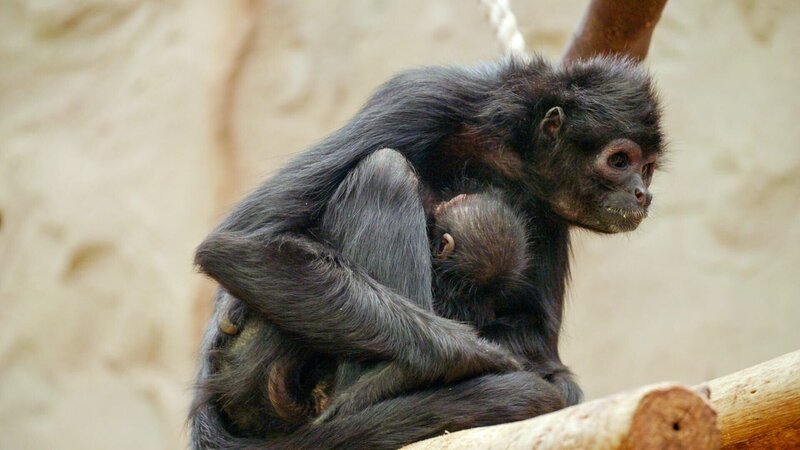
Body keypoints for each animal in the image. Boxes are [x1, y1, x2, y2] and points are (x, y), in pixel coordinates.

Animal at [191, 54, 664, 449]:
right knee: (384, 171)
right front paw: (482, 356)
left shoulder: (547, 207)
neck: (507, 149)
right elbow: (241, 241)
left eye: (647, 168)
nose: (643, 194)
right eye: (620, 161)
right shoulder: (425, 97)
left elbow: (539, 345)